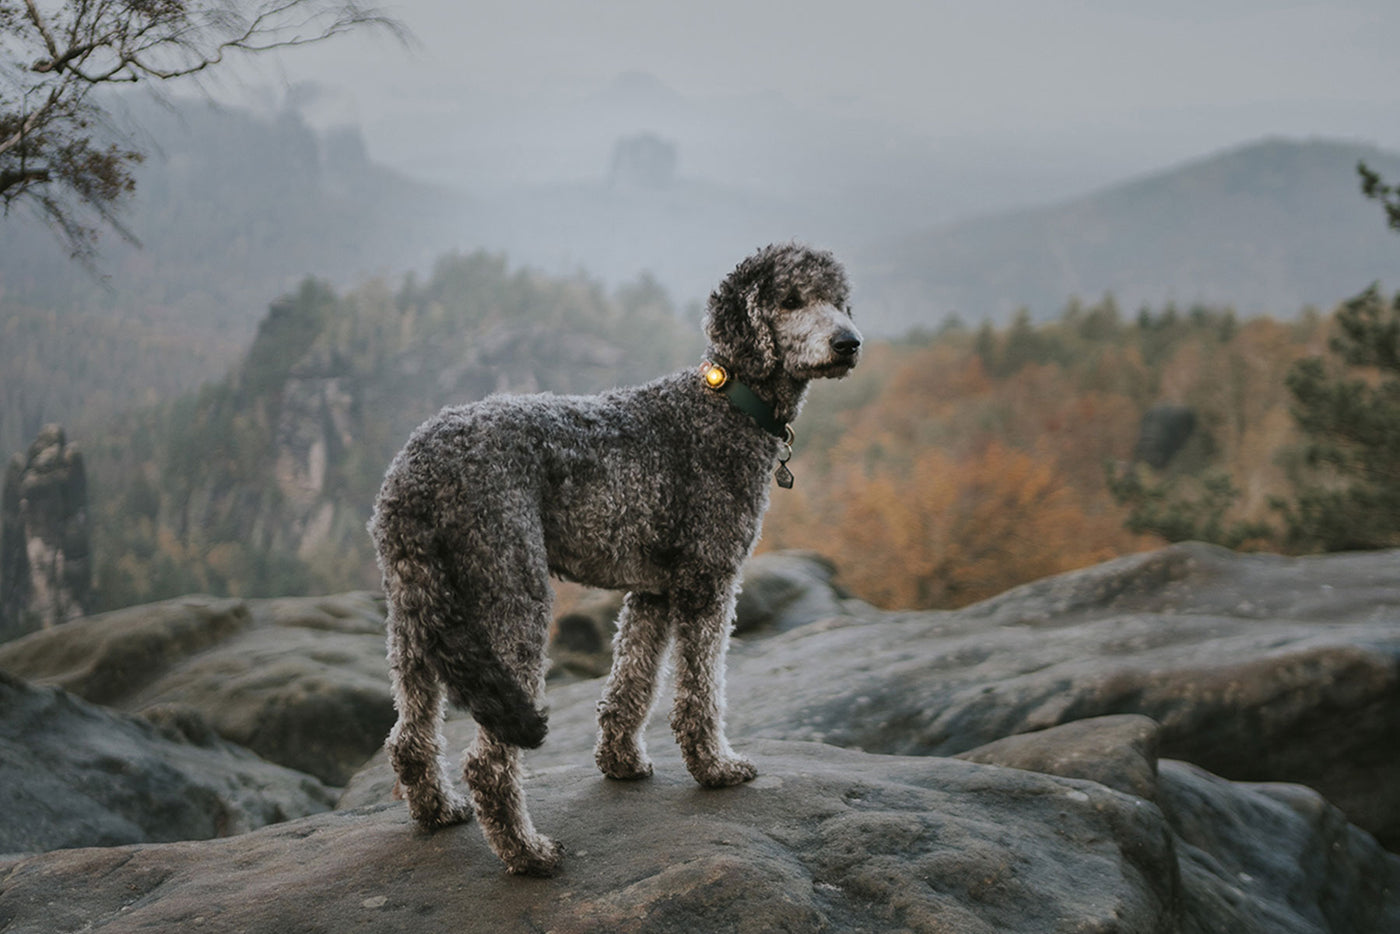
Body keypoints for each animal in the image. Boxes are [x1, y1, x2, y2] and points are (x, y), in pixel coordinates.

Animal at [366, 243, 856, 879]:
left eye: (840, 300)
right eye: (793, 300)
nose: (849, 342)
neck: (726, 402)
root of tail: (416, 466)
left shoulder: (653, 591)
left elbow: (633, 681)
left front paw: (621, 760)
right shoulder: (708, 579)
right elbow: (700, 690)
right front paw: (715, 767)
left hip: (415, 607)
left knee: (408, 736)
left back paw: (438, 811)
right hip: (513, 594)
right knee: (488, 762)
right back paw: (528, 854)